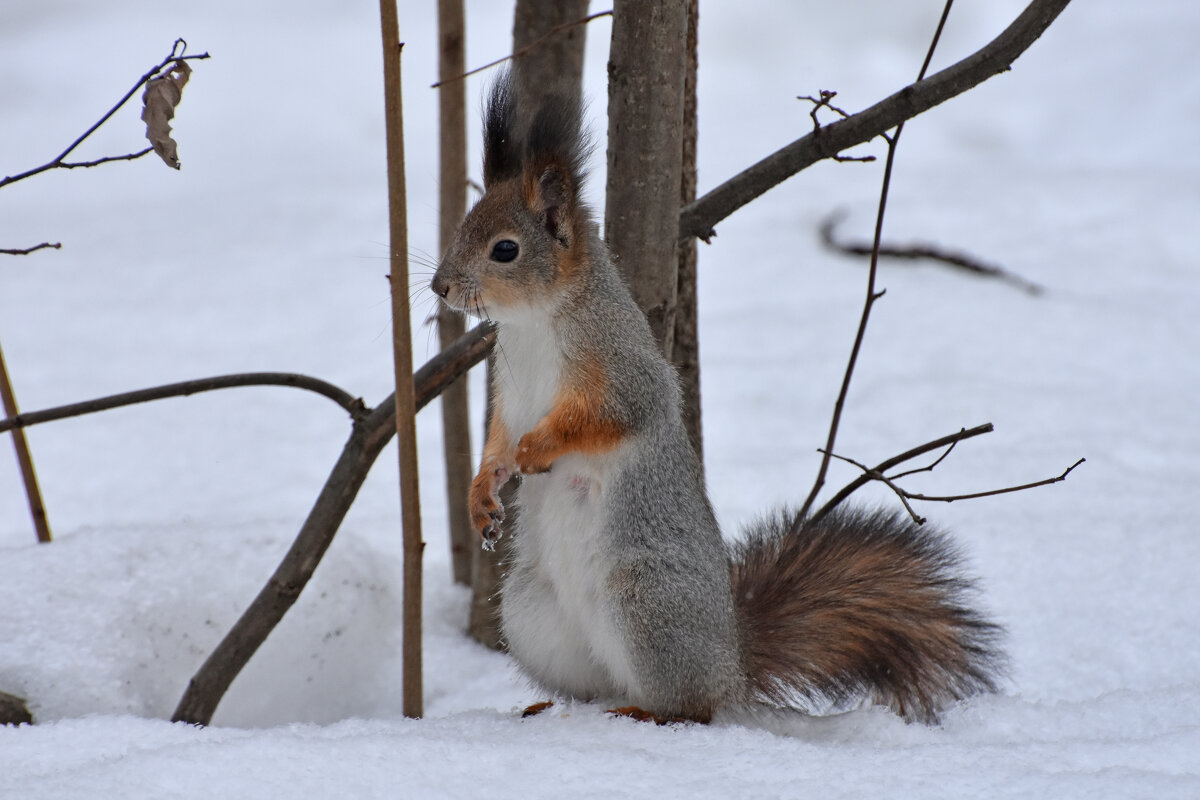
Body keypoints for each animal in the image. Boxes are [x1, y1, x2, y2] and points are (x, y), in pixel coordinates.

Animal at [432, 71, 1003, 729]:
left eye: (505, 250)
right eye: (461, 227)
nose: (438, 286)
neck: (532, 324)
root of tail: (732, 664)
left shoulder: (623, 372)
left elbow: (608, 418)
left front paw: (538, 448)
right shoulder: (510, 392)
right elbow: (497, 442)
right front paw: (483, 493)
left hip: (646, 603)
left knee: (693, 705)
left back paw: (649, 713)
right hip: (533, 613)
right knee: (596, 683)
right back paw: (558, 706)